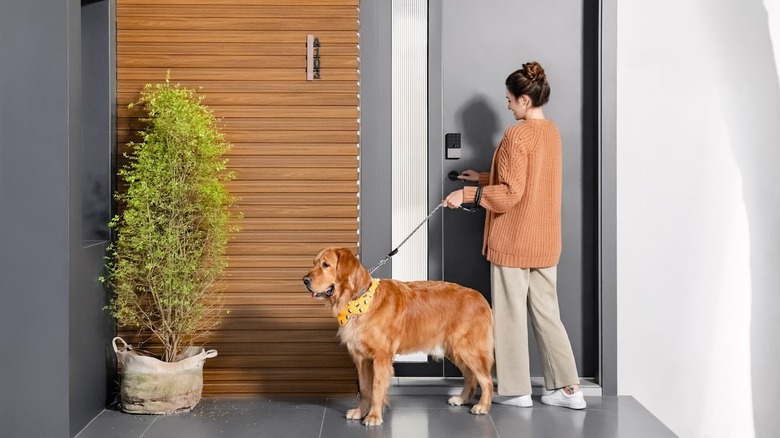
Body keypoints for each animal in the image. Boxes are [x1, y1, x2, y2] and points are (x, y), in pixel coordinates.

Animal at [302, 248, 490, 426]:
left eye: (326, 265)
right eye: (314, 263)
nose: (304, 280)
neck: (359, 301)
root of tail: (480, 296)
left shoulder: (381, 357)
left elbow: (377, 389)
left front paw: (374, 416)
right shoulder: (362, 358)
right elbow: (364, 389)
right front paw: (360, 411)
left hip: (467, 349)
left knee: (486, 379)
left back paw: (482, 406)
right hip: (455, 350)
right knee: (470, 376)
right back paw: (461, 399)